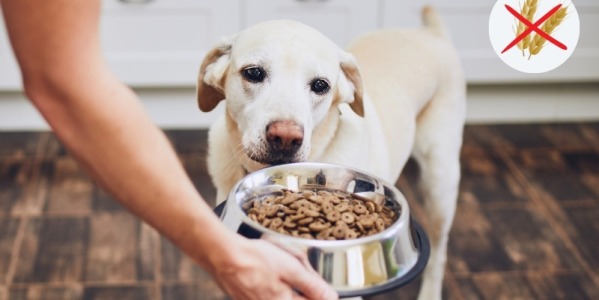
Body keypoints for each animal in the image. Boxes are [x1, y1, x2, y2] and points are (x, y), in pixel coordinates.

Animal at [198, 5, 468, 300]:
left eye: (320, 85)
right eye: (254, 73)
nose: (285, 138)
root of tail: (431, 33)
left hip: (440, 183)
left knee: (439, 251)